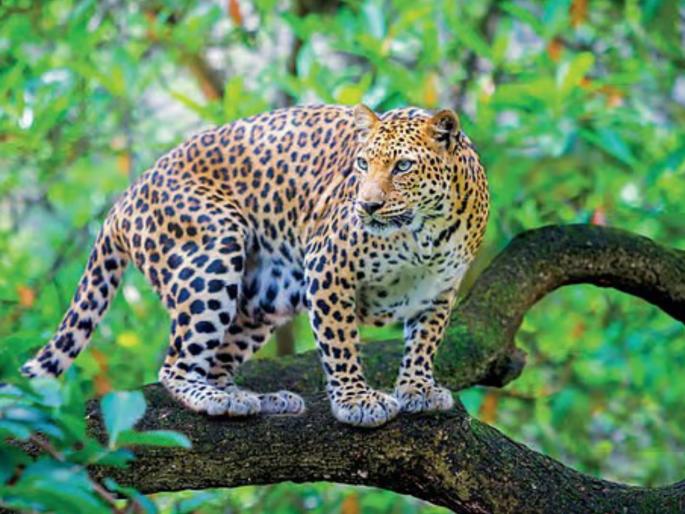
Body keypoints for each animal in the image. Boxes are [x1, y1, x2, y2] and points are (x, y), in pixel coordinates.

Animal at [22, 104, 489, 428]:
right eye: (361, 164)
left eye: (403, 165)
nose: (366, 205)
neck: (425, 232)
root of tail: (125, 198)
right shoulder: (327, 268)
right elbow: (340, 342)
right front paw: (356, 400)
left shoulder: (440, 290)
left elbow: (424, 342)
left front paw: (417, 388)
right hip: (213, 253)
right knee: (177, 365)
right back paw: (217, 399)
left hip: (263, 299)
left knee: (216, 362)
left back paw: (259, 400)